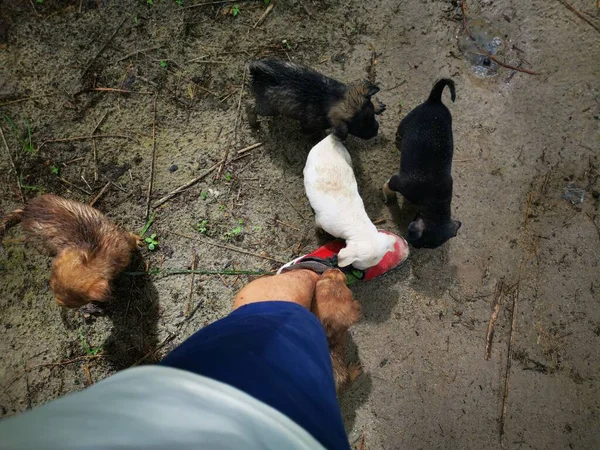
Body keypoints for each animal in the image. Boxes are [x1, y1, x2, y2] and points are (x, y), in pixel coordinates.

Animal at [0, 195, 141, 308]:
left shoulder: (122, 241)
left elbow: (130, 238)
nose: (57, 303)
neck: (97, 252)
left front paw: (138, 240)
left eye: (66, 303)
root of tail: (26, 209)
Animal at [247, 58, 384, 140]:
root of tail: (260, 72)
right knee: (250, 106)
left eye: (372, 117)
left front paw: (377, 105)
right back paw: (253, 122)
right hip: (269, 107)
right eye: (358, 129)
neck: (333, 97)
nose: (376, 132)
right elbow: (316, 131)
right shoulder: (308, 125)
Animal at [304, 132, 398, 268]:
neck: (357, 223)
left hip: (346, 155)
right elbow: (318, 224)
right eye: (359, 265)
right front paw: (319, 232)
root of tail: (330, 139)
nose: (358, 271)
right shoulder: (322, 221)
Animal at [382, 80, 462, 250]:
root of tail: (435, 100)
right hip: (406, 122)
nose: (412, 246)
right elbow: (388, 186)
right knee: (400, 130)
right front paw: (389, 195)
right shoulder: (399, 182)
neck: (436, 203)